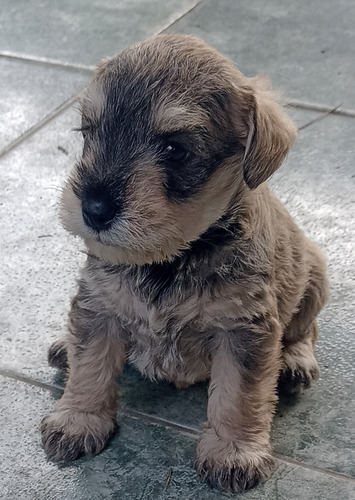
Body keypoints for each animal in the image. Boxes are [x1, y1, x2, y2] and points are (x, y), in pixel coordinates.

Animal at [41, 34, 328, 492]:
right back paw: (63, 346)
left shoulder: (243, 332)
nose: (94, 209)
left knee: (305, 328)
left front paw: (234, 451)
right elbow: (90, 367)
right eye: (89, 130)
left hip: (315, 275)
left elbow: (238, 395)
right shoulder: (98, 309)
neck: (169, 259)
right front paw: (77, 420)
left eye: (175, 149)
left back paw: (296, 362)